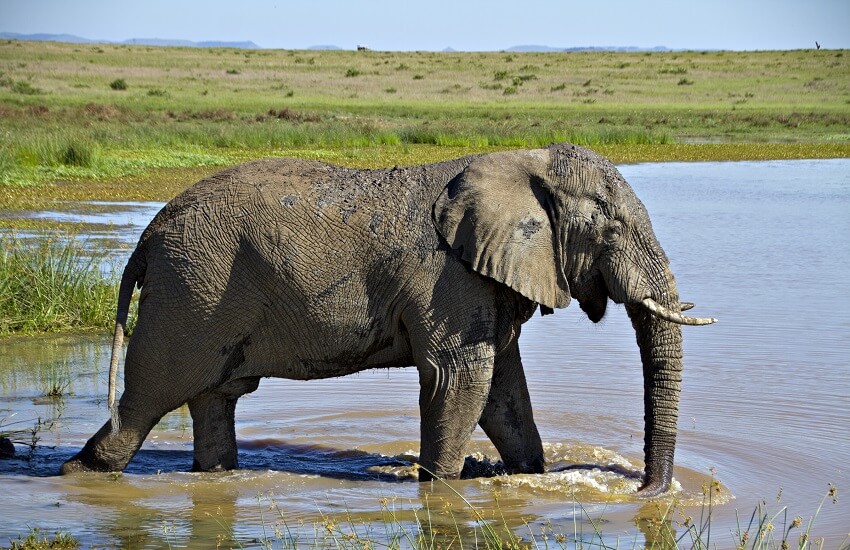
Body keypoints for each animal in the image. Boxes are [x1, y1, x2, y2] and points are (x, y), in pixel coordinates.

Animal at [59, 144, 712, 498]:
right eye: (613, 229)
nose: (643, 490)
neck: (522, 162)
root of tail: (146, 238)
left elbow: (503, 390)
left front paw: (525, 476)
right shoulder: (449, 278)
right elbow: (461, 380)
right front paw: (442, 487)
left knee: (214, 399)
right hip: (191, 292)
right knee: (146, 401)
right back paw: (81, 472)